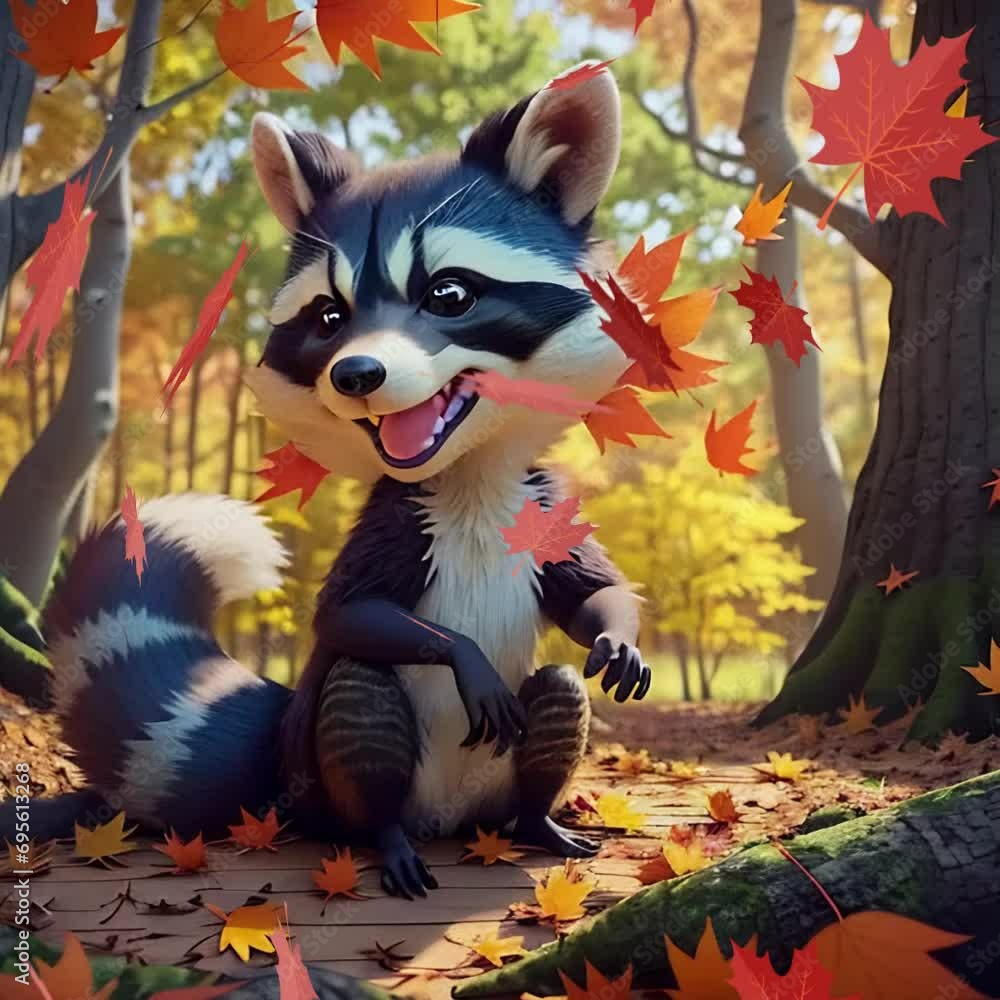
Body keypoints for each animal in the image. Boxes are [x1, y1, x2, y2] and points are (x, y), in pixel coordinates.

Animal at [6, 64, 651, 899]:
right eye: (328, 317)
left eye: (449, 294)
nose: (356, 375)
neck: (468, 479)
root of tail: (450, 820)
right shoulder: (396, 522)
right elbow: (346, 616)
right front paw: (464, 655)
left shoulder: (540, 507)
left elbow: (588, 596)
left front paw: (616, 632)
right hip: (326, 774)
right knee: (361, 690)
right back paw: (384, 836)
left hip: (495, 780)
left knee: (559, 693)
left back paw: (536, 816)